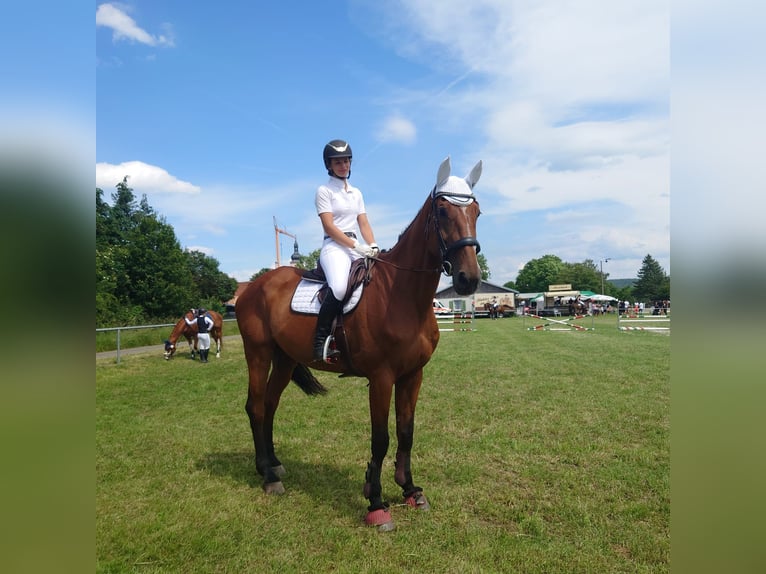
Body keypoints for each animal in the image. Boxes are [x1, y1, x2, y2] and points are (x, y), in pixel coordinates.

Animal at [237, 159, 484, 536]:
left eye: (476, 211)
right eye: (442, 211)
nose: (468, 279)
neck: (401, 294)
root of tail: (252, 286)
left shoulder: (413, 375)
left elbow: (406, 431)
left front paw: (410, 489)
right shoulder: (381, 378)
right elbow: (380, 438)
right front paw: (377, 503)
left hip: (284, 360)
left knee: (269, 406)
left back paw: (274, 465)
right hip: (258, 353)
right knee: (255, 406)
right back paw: (267, 475)